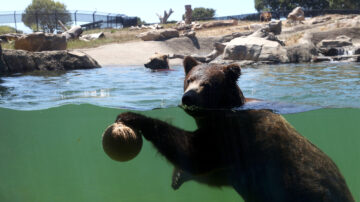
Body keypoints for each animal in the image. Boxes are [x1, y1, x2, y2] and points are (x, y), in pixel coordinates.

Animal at [116, 56, 354, 201]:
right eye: (189, 79)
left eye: (207, 84)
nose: (188, 96)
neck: (218, 116)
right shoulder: (231, 165)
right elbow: (210, 172)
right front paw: (177, 177)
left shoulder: (236, 138)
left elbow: (195, 154)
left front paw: (132, 117)